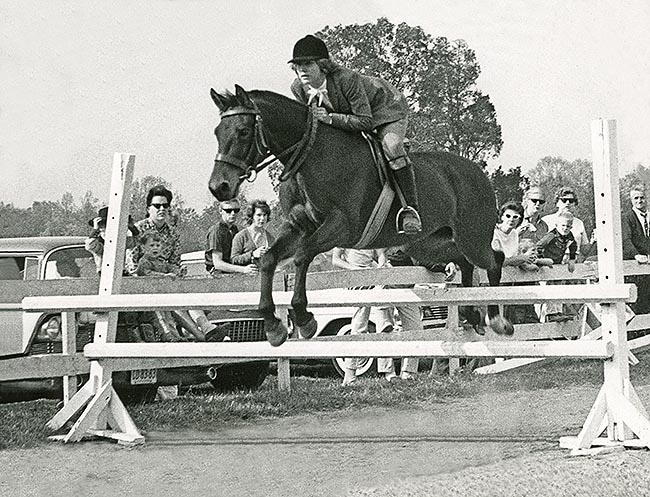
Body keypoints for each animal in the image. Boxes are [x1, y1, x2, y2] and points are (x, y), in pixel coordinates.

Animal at [209, 85, 513, 346]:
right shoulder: (297, 227)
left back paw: (497, 320)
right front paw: (274, 327)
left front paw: (304, 319)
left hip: (471, 238)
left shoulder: (341, 227)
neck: (310, 157)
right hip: (427, 244)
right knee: (464, 262)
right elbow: (269, 259)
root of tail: (478, 173)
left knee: (494, 260)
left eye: (244, 131)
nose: (218, 187)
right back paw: (472, 314)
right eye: (217, 132)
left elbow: (303, 255)